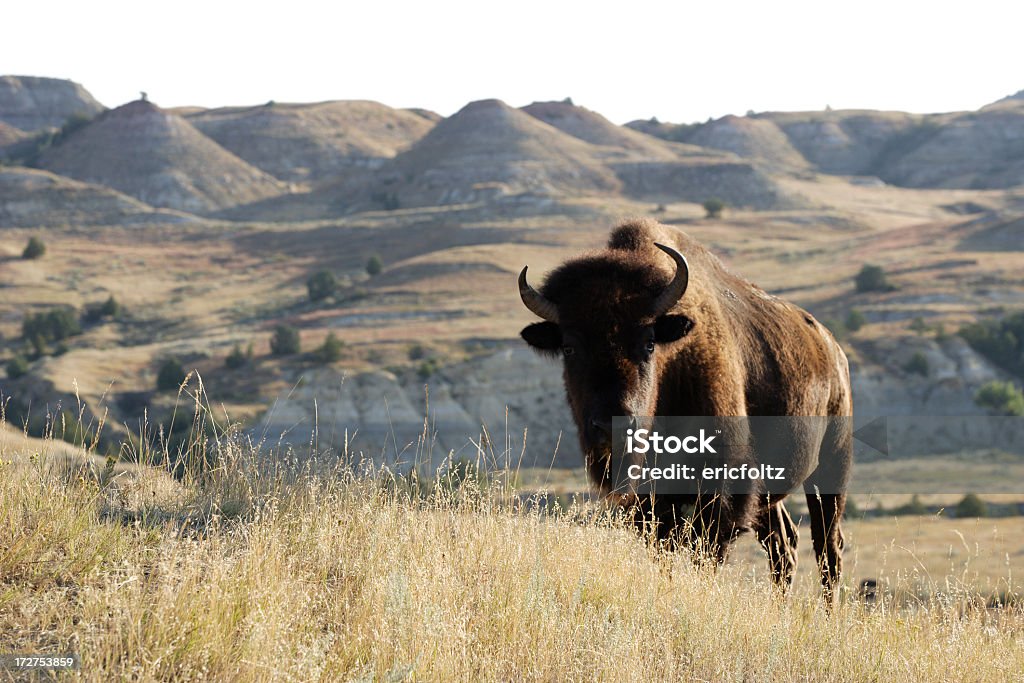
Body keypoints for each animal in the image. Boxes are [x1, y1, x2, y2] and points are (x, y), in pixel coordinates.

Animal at [516, 218, 851, 602]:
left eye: (648, 343)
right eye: (569, 348)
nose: (612, 426)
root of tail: (832, 349)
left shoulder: (721, 494)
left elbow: (704, 556)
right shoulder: (651, 506)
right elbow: (666, 555)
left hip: (832, 468)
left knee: (828, 548)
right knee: (784, 545)